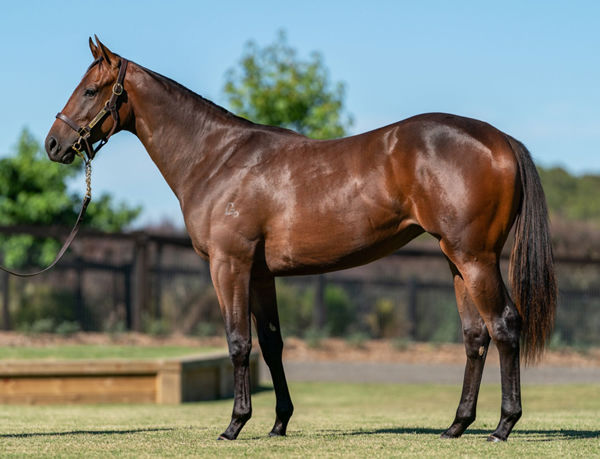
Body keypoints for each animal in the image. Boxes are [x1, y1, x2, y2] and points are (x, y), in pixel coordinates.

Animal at [44, 38, 556, 442]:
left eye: (90, 89)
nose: (53, 145)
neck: (217, 158)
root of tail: (500, 140)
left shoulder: (229, 265)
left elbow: (238, 342)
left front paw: (234, 424)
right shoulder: (259, 273)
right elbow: (271, 344)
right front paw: (278, 423)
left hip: (476, 259)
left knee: (505, 326)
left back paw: (503, 426)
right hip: (457, 261)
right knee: (476, 336)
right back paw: (456, 425)